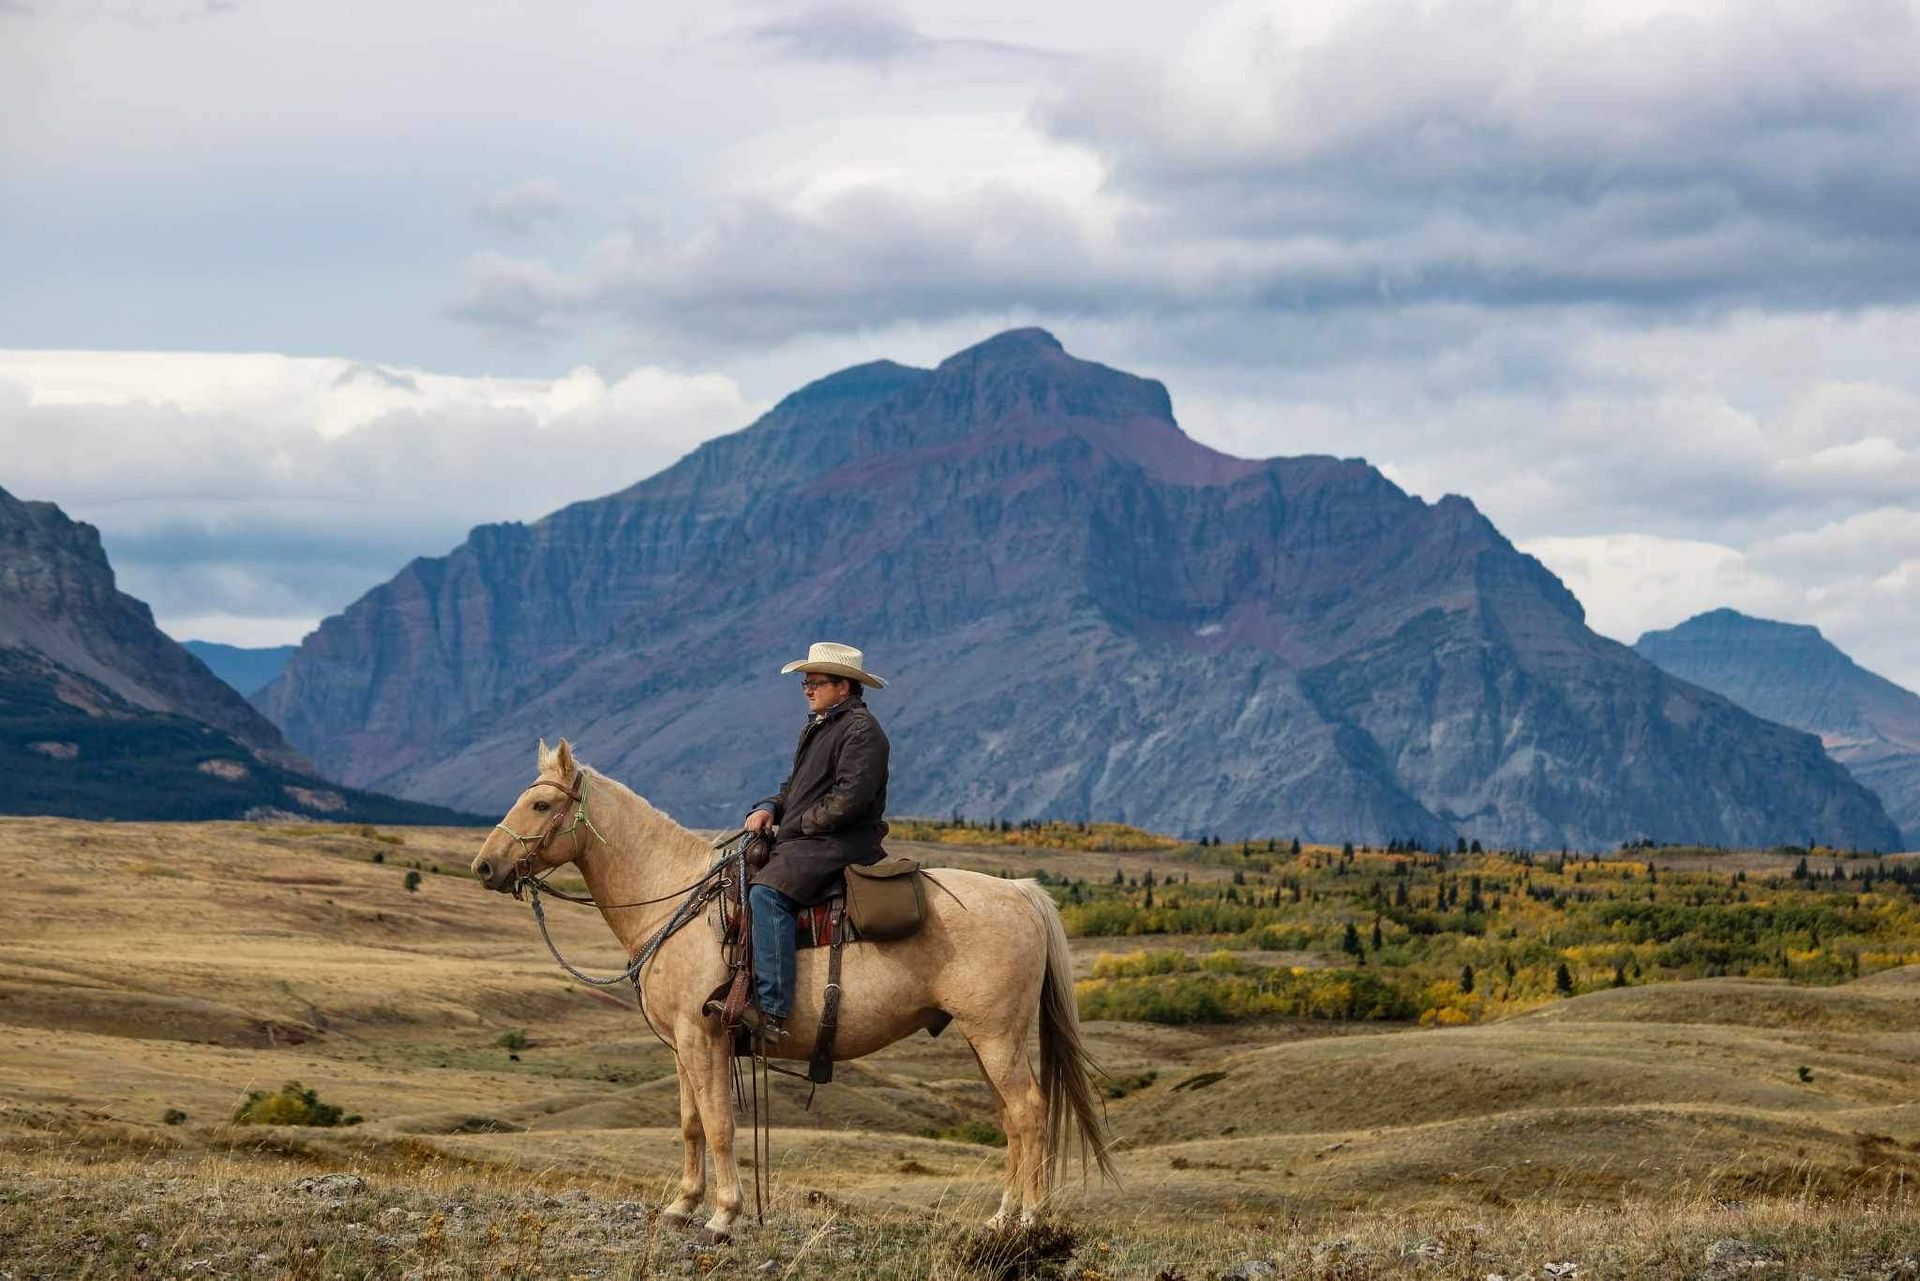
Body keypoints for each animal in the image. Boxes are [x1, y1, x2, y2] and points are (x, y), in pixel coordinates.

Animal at [469, 737, 1115, 1240]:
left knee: (1028, 1112)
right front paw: (681, 1206)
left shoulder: (704, 1036)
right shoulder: (682, 1044)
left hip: (997, 1035)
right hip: (983, 1040)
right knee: (1011, 1116)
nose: (483, 867)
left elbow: (720, 1123)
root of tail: (1021, 893)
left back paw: (1029, 1220)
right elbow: (690, 1122)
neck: (674, 901)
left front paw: (723, 1215)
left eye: (541, 803)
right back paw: (1001, 1218)